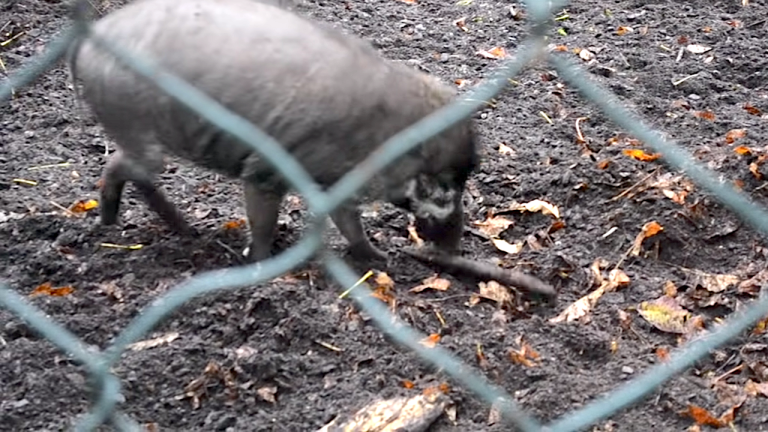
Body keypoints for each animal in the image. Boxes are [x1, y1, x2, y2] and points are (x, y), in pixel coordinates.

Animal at [66, 0, 476, 264]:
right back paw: (126, 224)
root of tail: (87, 41)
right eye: (443, 187)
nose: (454, 248)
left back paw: (176, 231)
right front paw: (262, 266)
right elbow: (263, 224)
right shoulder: (266, 171)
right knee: (124, 167)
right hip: (138, 129)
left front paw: (379, 258)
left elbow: (350, 224)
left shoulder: (335, 184)